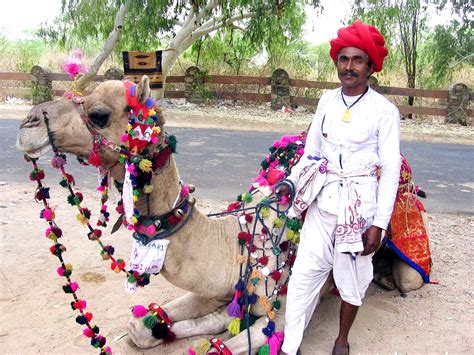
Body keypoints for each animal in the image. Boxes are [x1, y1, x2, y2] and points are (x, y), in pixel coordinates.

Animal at [17, 75, 426, 354]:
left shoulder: (282, 308)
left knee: (405, 278)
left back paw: (388, 279)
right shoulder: (221, 288)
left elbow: (239, 337)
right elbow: (148, 324)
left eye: (99, 113)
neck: (238, 241)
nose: (27, 123)